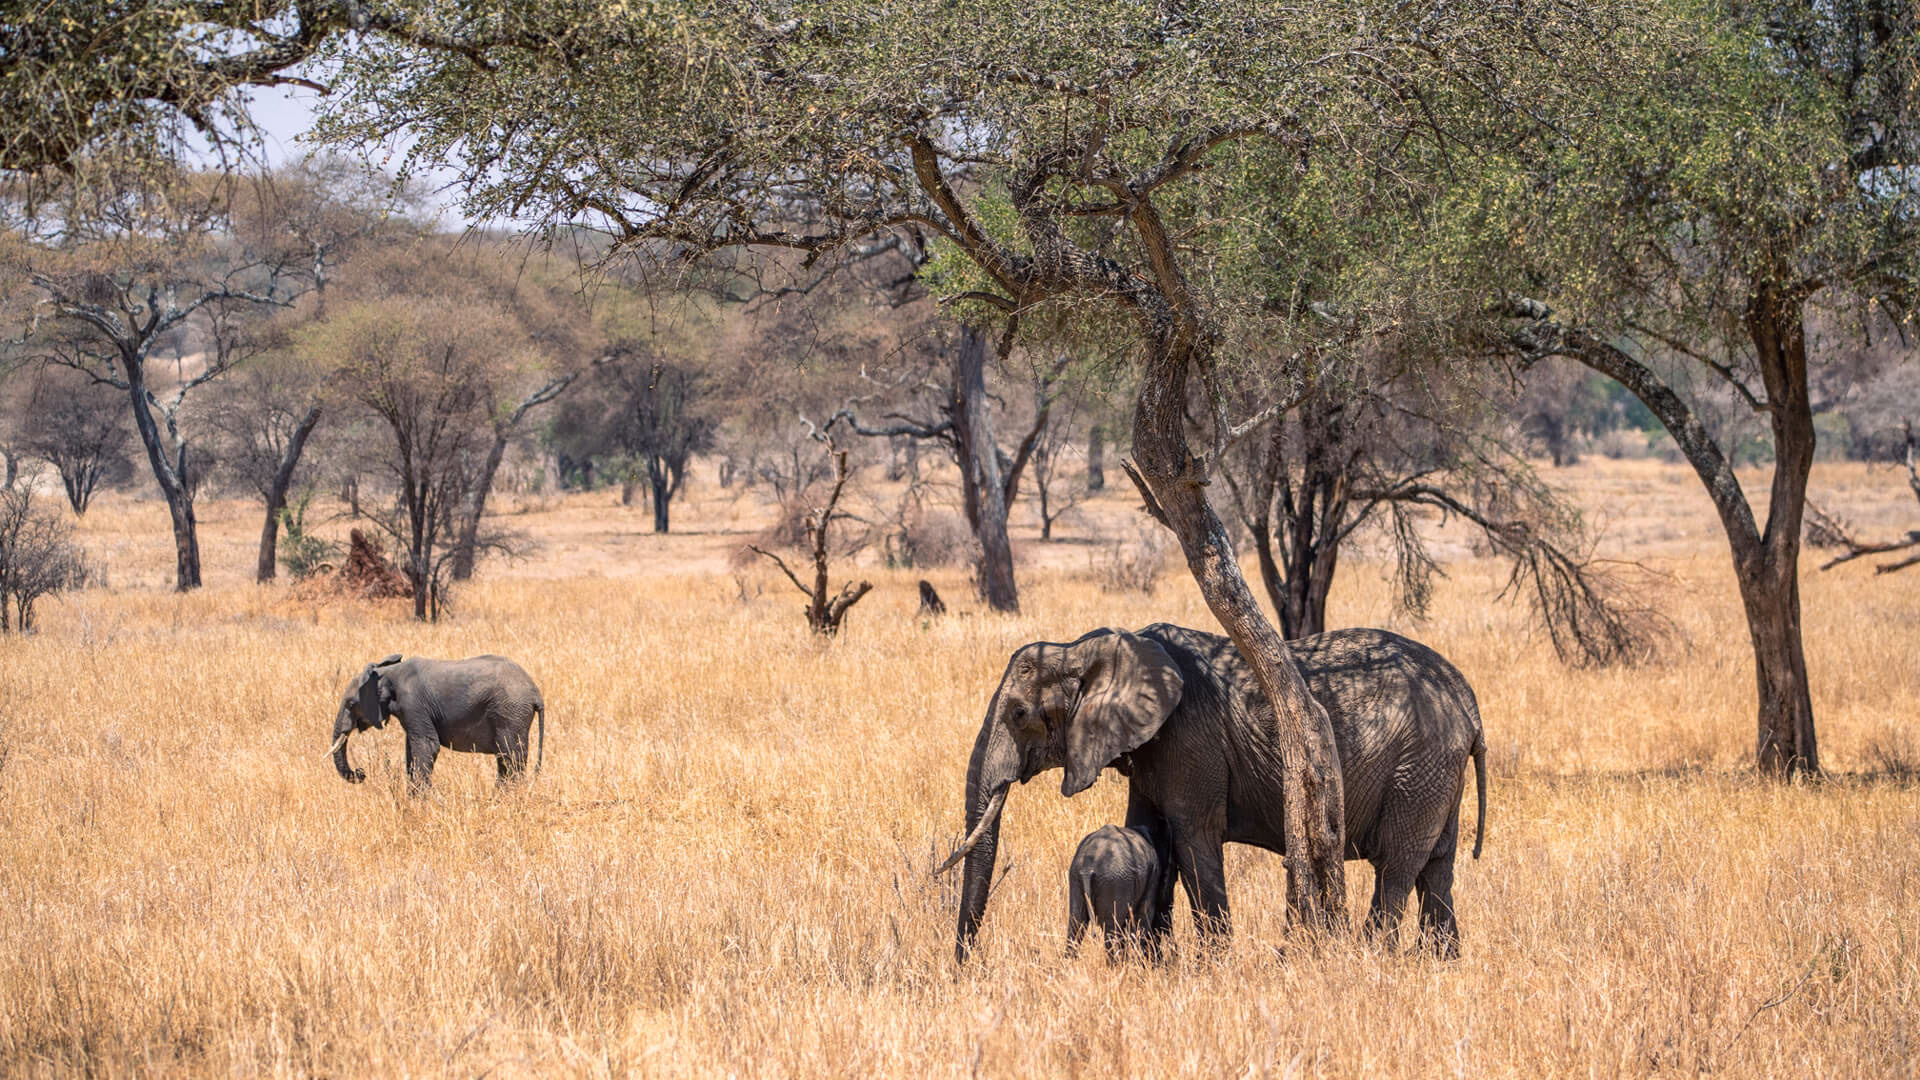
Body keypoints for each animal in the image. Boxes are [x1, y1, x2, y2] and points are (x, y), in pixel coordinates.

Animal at [329, 654, 545, 790]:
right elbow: (411, 751)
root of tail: (536, 693)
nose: (361, 773)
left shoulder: (414, 703)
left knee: (511, 757)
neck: (388, 672)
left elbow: (427, 746)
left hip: (510, 713)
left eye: (350, 704)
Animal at [1065, 824, 1164, 962]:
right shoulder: (1153, 875)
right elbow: (1143, 916)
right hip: (1115, 880)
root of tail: (1088, 866)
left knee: (1076, 923)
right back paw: (1115, 965)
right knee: (1112, 929)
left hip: (1077, 876)